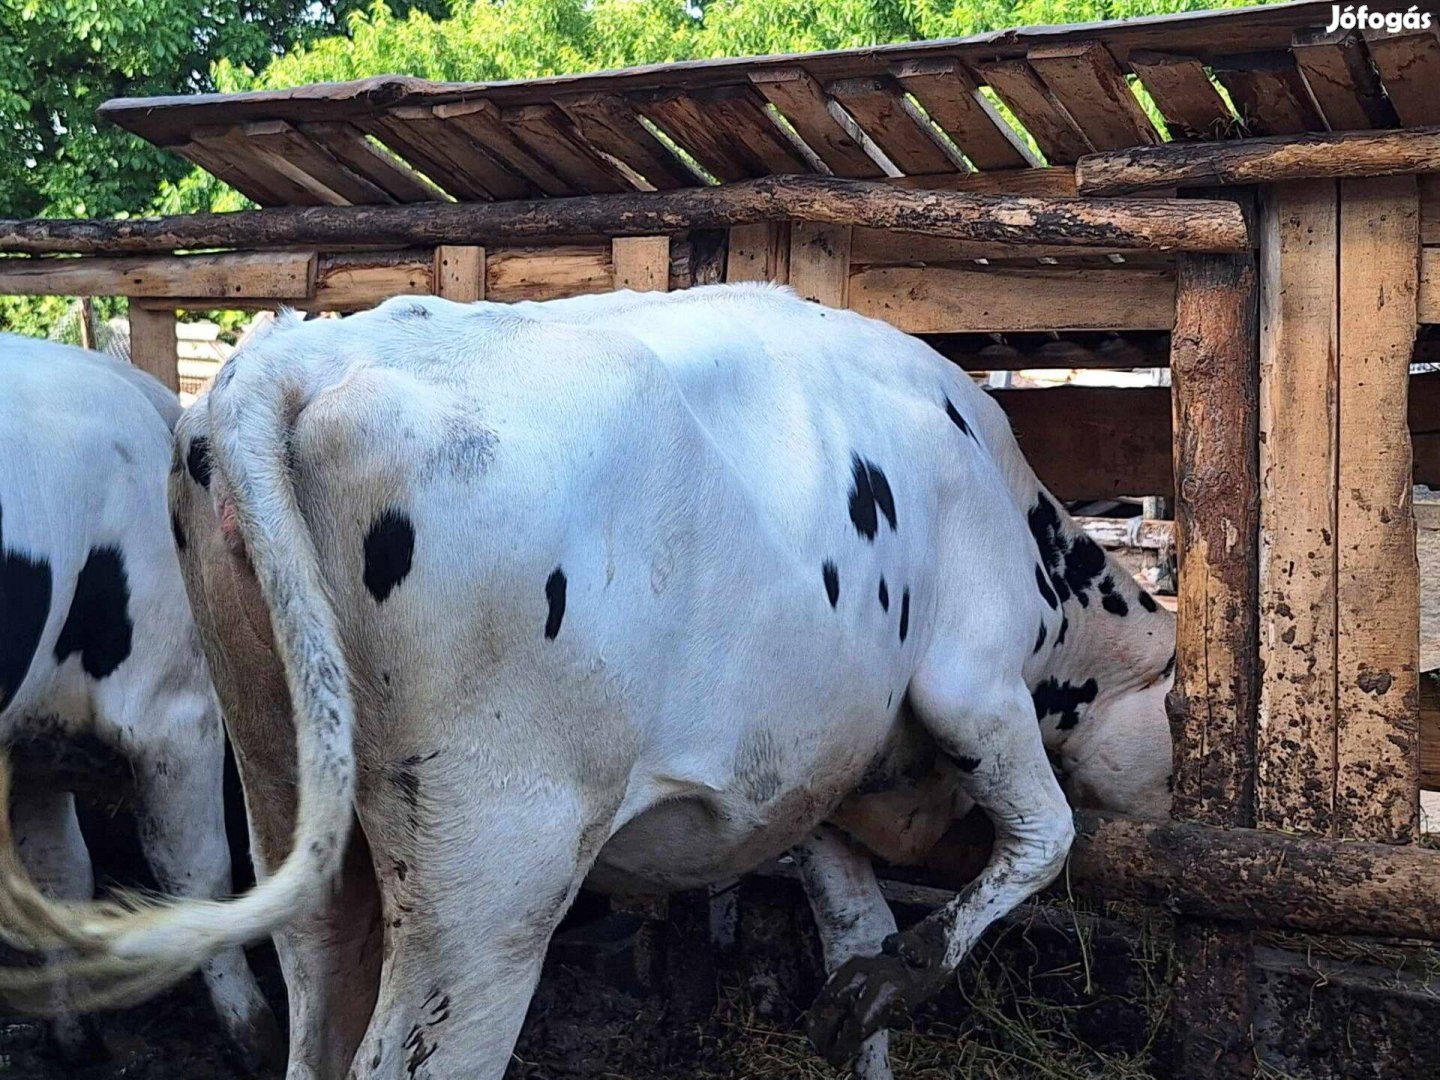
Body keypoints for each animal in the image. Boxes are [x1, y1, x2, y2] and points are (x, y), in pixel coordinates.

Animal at [0, 289, 1169, 1080]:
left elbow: (856, 939)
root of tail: (291, 361)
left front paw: (864, 1001)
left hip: (282, 775)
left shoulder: (823, 782)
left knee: (311, 994)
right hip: (490, 875)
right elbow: (1043, 837)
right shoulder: (975, 678)